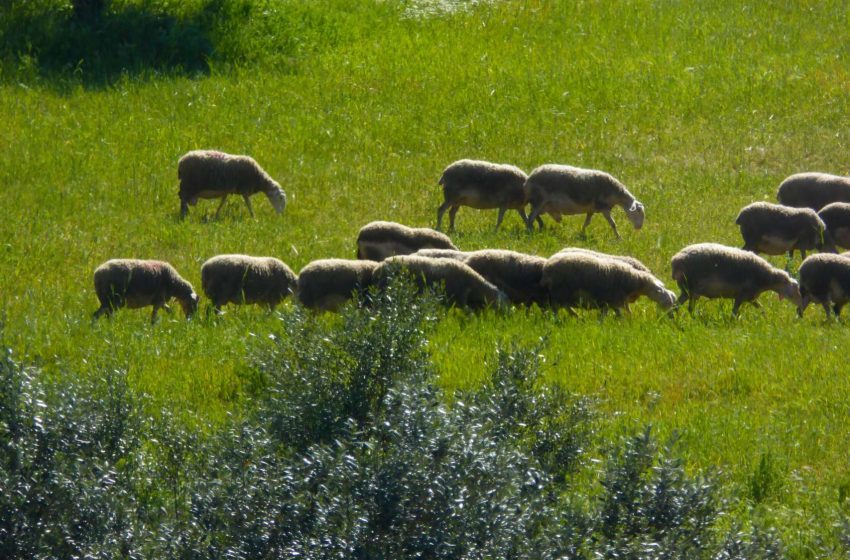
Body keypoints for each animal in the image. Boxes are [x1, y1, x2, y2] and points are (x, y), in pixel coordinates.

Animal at [540, 252, 672, 318]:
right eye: (667, 300)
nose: (671, 317)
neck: (635, 280)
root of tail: (547, 265)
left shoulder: (609, 302)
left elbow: (610, 314)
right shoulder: (614, 299)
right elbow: (622, 314)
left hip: (562, 294)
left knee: (565, 307)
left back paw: (577, 316)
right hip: (560, 292)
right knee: (556, 309)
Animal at [664, 244, 800, 318]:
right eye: (795, 291)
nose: (800, 307)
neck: (766, 279)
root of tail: (675, 260)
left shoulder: (750, 297)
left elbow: (761, 308)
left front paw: (766, 319)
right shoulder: (741, 295)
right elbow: (734, 314)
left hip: (687, 290)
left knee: (677, 306)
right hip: (691, 288)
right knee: (688, 308)